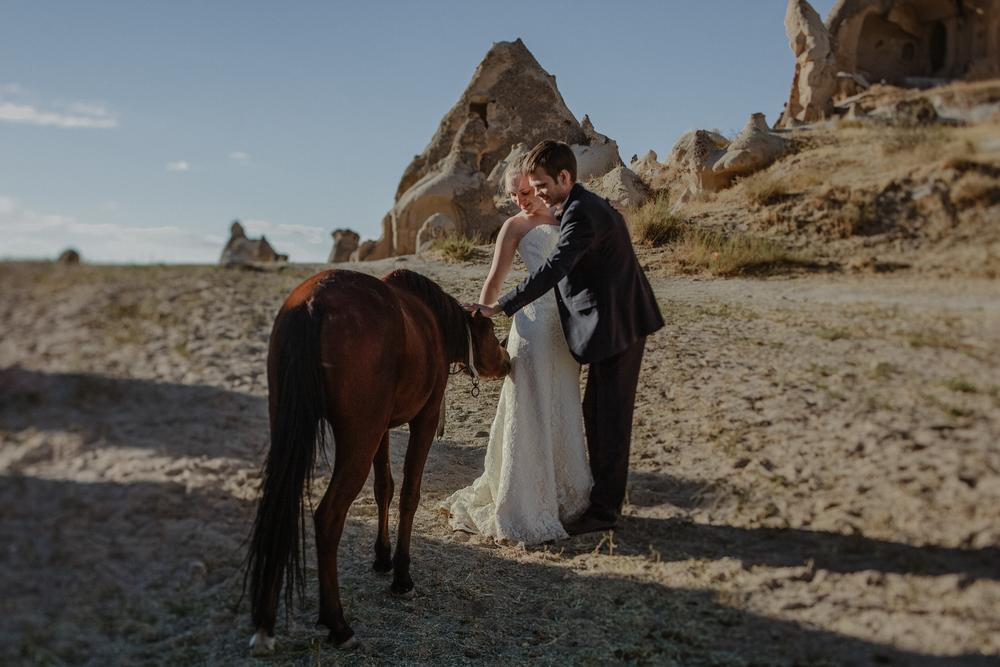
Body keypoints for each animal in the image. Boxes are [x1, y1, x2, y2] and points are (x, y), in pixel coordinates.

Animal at [241, 266, 508, 652]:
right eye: (488, 332)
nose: (507, 360)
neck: (431, 320)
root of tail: (313, 302)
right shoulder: (424, 419)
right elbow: (409, 492)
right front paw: (401, 575)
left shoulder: (382, 428)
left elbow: (384, 487)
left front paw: (382, 557)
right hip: (358, 439)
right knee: (328, 517)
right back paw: (338, 624)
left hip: (298, 426)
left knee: (281, 506)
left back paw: (265, 623)